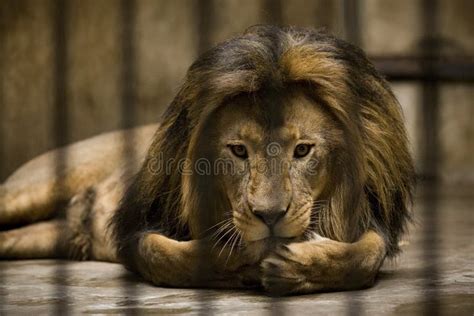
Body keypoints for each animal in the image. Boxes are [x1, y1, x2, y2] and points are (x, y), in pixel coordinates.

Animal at [0, 25, 412, 296]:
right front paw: (236, 258)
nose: (269, 216)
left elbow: (367, 254)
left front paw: (298, 267)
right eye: (239, 151)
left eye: (302, 150)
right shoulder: (137, 226)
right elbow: (161, 254)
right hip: (38, 188)